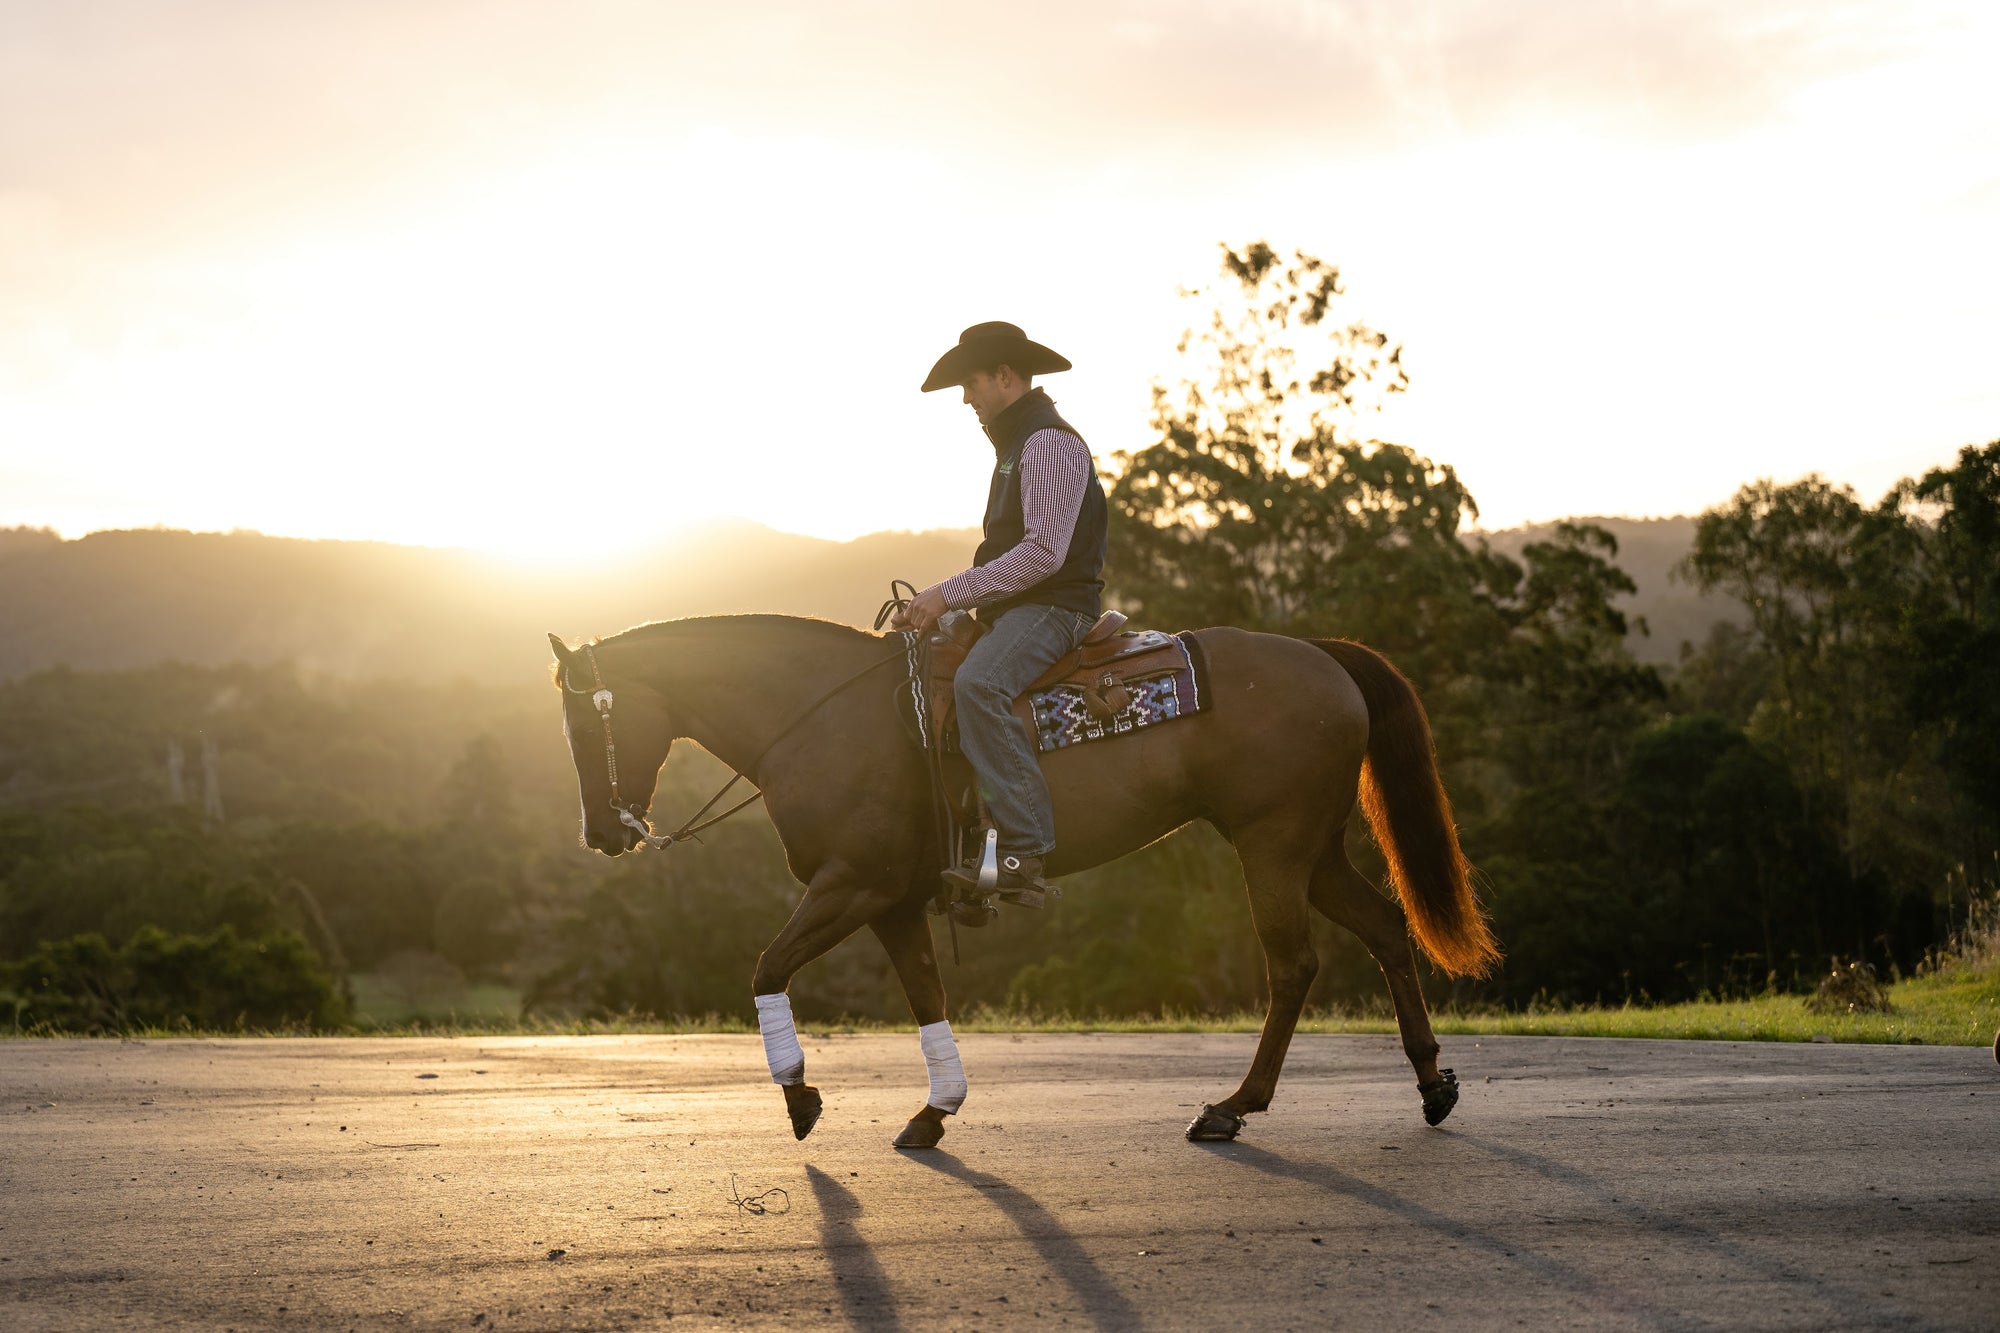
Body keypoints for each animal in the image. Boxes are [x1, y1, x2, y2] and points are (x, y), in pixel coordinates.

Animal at [547, 613, 1497, 1148]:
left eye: (586, 720)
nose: (600, 834)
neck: (823, 717)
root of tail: (1323, 655)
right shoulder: (892, 901)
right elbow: (926, 995)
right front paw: (935, 1110)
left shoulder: (851, 886)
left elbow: (766, 967)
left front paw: (801, 1096)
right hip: (1313, 848)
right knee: (1386, 927)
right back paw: (1432, 1085)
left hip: (1273, 843)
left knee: (1293, 964)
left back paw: (1233, 1105)